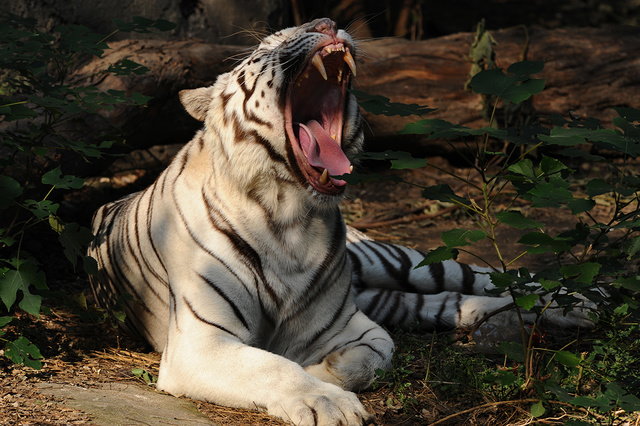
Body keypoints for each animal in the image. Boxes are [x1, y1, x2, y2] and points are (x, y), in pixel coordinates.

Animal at [86, 18, 596, 424]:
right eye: (265, 46)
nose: (326, 22)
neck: (287, 218)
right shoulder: (201, 341)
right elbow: (273, 365)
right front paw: (325, 399)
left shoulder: (353, 326)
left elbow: (371, 356)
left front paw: (323, 375)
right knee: (448, 302)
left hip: (397, 260)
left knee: (480, 277)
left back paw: (579, 303)